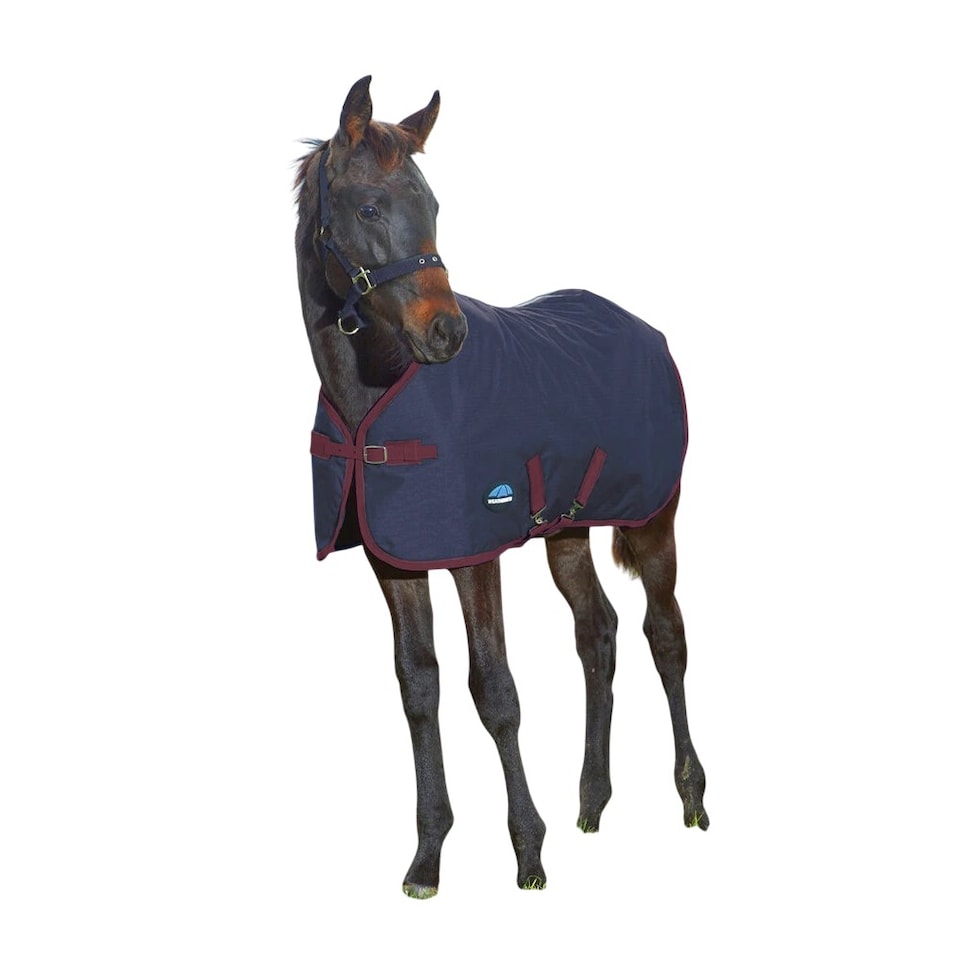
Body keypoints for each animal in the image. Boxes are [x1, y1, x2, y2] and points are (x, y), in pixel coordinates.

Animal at [294, 76, 708, 897]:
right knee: (598, 633)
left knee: (666, 634)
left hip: (653, 520)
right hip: (569, 531)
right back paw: (592, 803)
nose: (446, 332)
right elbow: (419, 688)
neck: (376, 397)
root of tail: (648, 331)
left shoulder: (473, 553)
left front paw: (527, 852)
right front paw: (428, 857)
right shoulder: (395, 560)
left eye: (434, 204)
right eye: (368, 208)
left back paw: (690, 796)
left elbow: (495, 691)